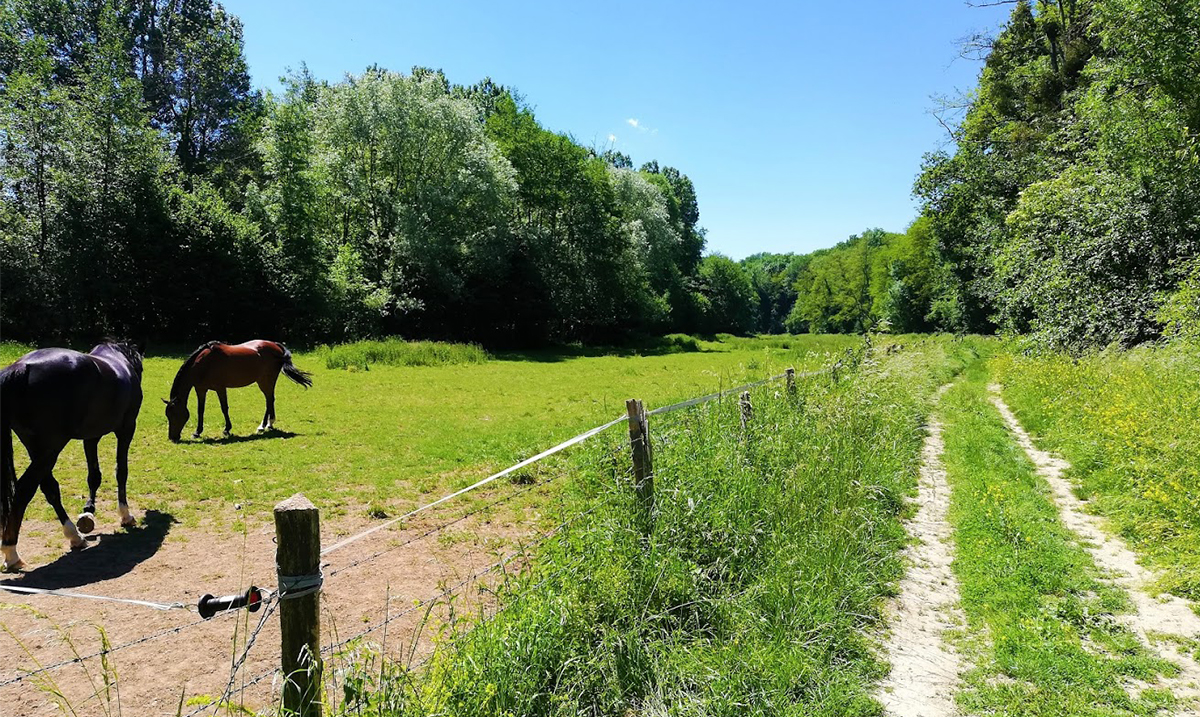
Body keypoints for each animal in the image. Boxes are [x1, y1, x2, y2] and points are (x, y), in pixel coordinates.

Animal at [0, 342, 144, 573]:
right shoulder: (126, 429)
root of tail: (22, 367)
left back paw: (74, 536)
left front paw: (88, 512)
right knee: (24, 489)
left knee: (49, 488)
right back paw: (11, 553)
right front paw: (125, 515)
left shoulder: (91, 437)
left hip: (38, 449)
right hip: (51, 449)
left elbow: (94, 475)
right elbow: (121, 471)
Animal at [164, 340, 314, 441]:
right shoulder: (201, 389)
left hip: (266, 381)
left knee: (269, 399)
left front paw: (227, 429)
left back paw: (264, 425)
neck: (203, 363)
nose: (172, 438)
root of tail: (276, 345)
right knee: (270, 400)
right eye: (168, 415)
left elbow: (224, 408)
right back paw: (268, 425)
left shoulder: (220, 388)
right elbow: (200, 410)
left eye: (175, 415)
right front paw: (197, 432)